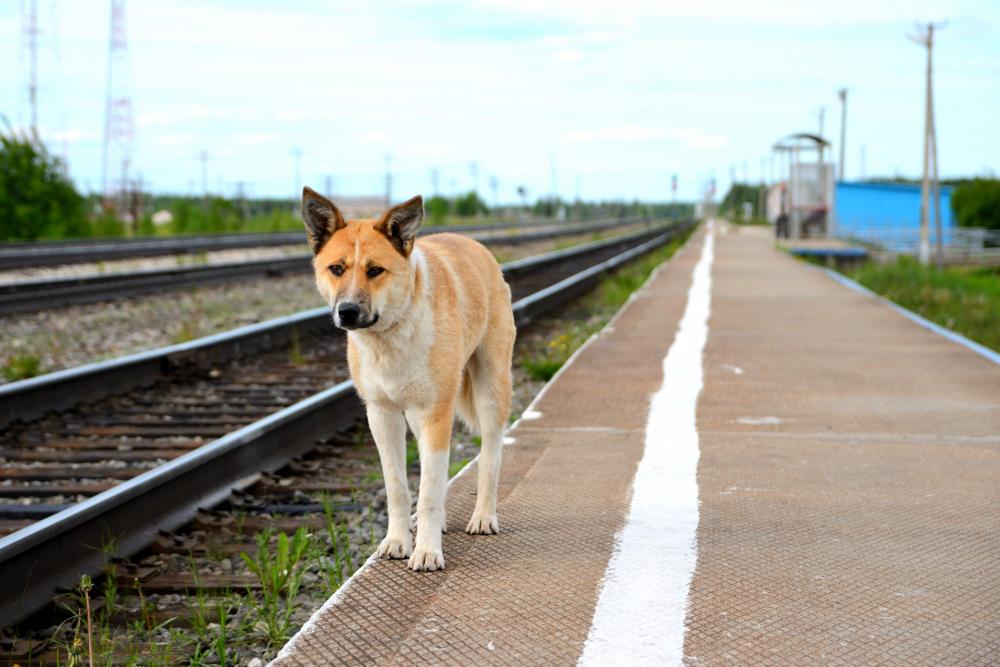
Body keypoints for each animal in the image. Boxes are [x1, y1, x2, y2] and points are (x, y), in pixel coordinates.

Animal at [300, 189, 516, 576]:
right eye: (336, 268)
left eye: (375, 270)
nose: (348, 312)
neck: (391, 334)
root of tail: (475, 245)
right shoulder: (381, 414)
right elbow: (398, 486)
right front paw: (398, 541)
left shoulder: (436, 412)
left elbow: (428, 489)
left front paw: (427, 552)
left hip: (491, 387)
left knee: (491, 452)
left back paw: (483, 516)